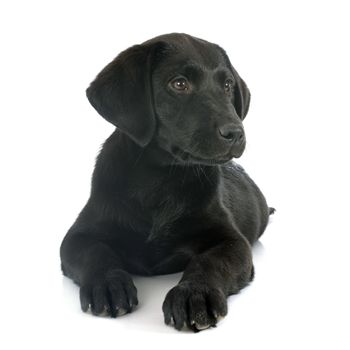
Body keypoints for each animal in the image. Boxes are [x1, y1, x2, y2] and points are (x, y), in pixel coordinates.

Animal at [59, 32, 274, 330]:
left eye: (227, 85)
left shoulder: (231, 241)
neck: (160, 178)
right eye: (179, 83)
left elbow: (209, 261)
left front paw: (194, 293)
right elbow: (95, 252)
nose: (235, 133)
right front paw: (108, 283)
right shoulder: (78, 235)